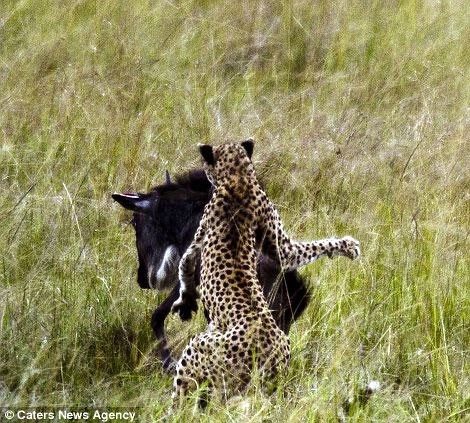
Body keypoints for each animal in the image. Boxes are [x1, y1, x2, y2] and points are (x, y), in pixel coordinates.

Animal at [172, 139, 360, 404]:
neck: (238, 175)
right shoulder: (281, 246)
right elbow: (297, 252)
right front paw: (347, 245)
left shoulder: (200, 236)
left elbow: (185, 265)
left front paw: (184, 299)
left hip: (198, 349)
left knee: (182, 393)